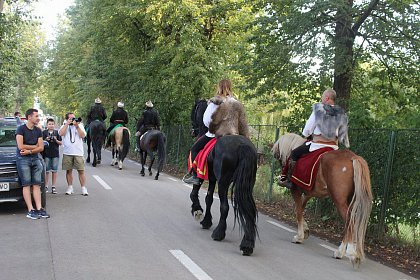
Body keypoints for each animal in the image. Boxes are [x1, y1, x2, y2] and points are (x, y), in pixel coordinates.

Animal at [272, 133, 374, 266]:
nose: (274, 154)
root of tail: (353, 157)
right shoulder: (309, 193)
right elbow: (301, 209)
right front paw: (305, 231)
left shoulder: (295, 190)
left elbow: (298, 212)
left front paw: (299, 237)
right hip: (350, 200)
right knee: (350, 221)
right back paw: (344, 252)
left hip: (339, 201)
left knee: (350, 221)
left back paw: (348, 253)